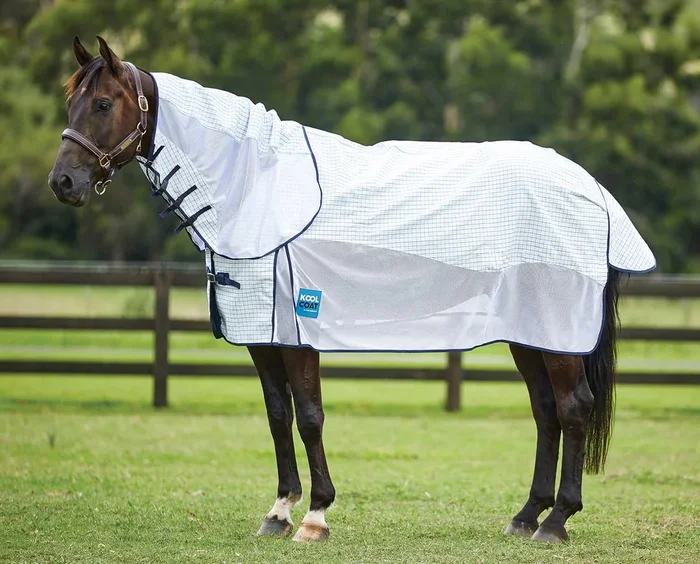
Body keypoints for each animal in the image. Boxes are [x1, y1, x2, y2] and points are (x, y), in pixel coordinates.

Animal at [48, 36, 655, 544]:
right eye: (71, 103)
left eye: (103, 105)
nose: (63, 183)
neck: (256, 186)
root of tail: (592, 191)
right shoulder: (261, 335)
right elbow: (278, 415)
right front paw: (279, 511)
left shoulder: (298, 334)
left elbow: (310, 416)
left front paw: (315, 516)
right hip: (530, 334)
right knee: (546, 412)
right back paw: (526, 516)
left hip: (558, 335)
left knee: (573, 409)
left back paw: (556, 522)